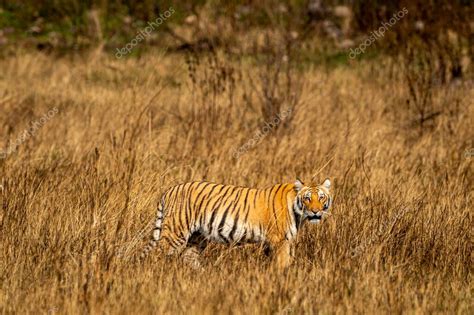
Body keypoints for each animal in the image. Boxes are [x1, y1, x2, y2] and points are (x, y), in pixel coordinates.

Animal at [140, 178, 334, 270]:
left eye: (321, 197)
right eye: (307, 198)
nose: (315, 212)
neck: (298, 213)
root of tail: (170, 190)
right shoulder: (280, 240)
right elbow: (283, 263)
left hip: (198, 236)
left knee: (188, 257)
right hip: (176, 232)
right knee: (158, 254)